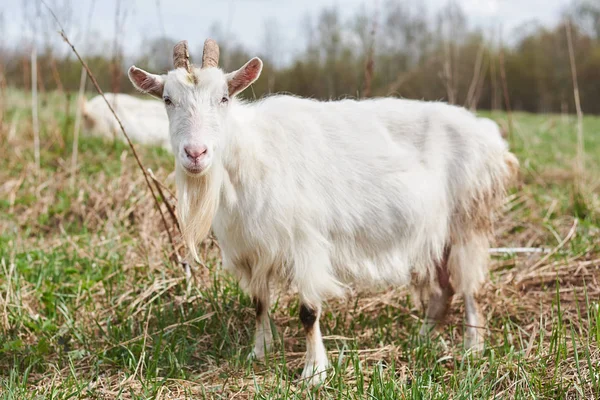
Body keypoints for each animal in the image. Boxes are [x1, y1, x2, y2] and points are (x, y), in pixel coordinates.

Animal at [127, 39, 520, 384]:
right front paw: (259, 353)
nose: (195, 153)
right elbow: (258, 302)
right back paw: (421, 339)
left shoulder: (306, 241)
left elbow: (308, 311)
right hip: (438, 232)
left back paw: (472, 347)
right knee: (443, 290)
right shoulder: (251, 247)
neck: (251, 152)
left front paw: (314, 373)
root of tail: (490, 136)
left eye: (224, 98)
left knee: (469, 287)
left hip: (468, 220)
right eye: (167, 100)